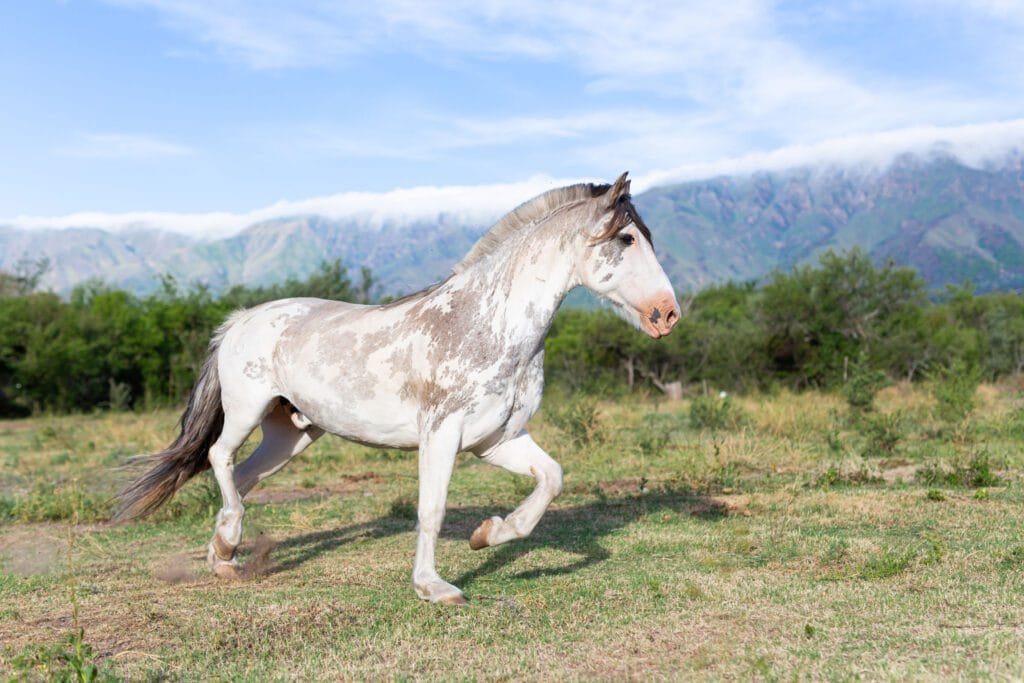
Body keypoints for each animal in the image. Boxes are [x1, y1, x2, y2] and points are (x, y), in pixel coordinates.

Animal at [115, 172, 680, 604]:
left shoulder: (496, 440)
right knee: (219, 456)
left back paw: (224, 556)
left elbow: (551, 479)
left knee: (244, 474)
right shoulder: (442, 436)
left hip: (291, 434)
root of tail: (241, 319)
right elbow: (431, 509)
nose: (668, 314)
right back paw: (229, 539)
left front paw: (487, 535)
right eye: (627, 240)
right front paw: (435, 588)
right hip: (246, 409)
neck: (487, 323)